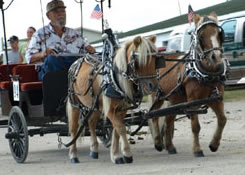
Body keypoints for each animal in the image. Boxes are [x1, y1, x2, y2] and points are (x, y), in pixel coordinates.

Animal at [67, 34, 159, 163]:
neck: (114, 78)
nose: (153, 86)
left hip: (94, 105)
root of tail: (75, 63)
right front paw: (126, 154)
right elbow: (120, 128)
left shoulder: (121, 109)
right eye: (139, 60)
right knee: (74, 129)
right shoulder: (110, 110)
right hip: (75, 104)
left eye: (155, 59)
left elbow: (116, 130)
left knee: (91, 123)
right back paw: (73, 156)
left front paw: (116, 155)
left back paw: (94, 150)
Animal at [148, 12, 229, 157]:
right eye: (201, 36)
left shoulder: (216, 99)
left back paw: (170, 147)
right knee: (154, 115)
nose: (216, 57)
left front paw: (214, 144)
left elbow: (222, 120)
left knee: (168, 120)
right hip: (157, 96)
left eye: (219, 34)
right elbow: (195, 126)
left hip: (175, 100)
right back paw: (158, 142)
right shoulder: (192, 102)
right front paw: (197, 149)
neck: (204, 73)